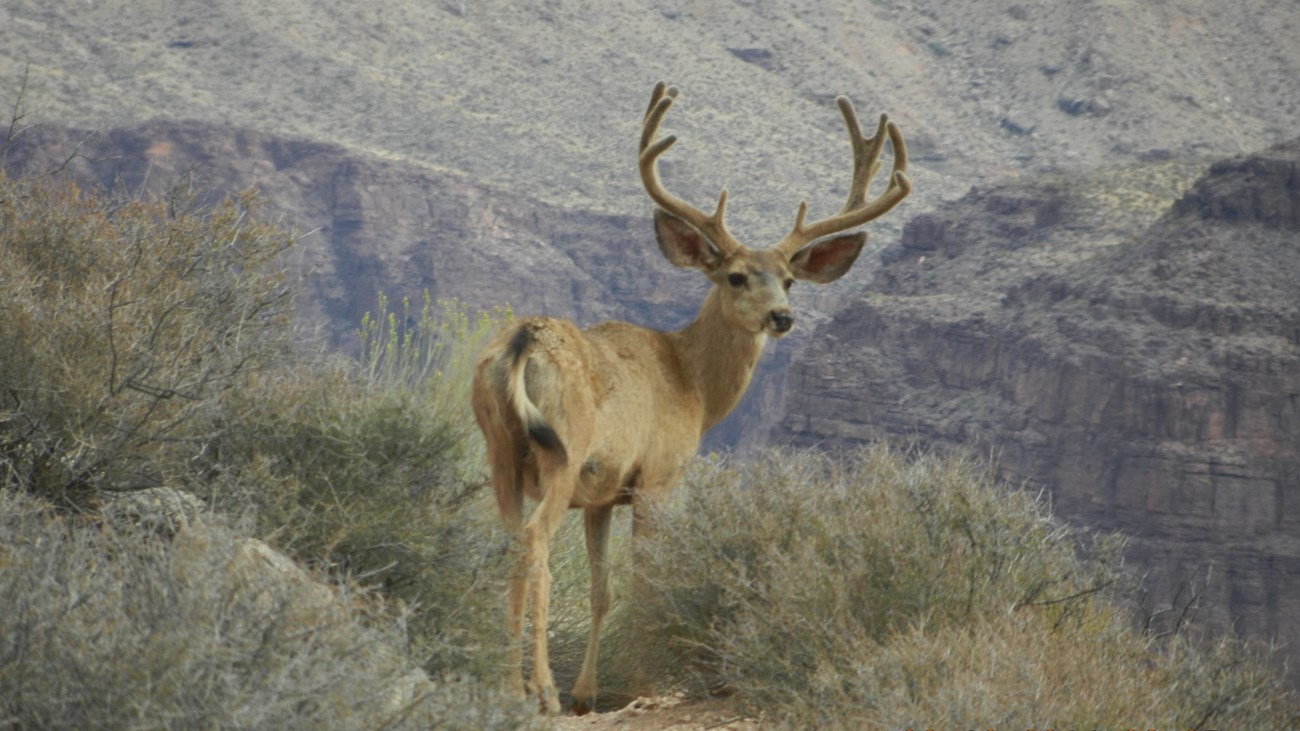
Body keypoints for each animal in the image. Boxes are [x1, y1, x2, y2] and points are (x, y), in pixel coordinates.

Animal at [473, 83, 909, 712]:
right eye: (735, 275)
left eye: (789, 279)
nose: (783, 317)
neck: (691, 384)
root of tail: (524, 339)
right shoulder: (658, 475)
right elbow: (648, 583)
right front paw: (641, 686)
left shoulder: (603, 493)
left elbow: (604, 589)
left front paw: (589, 693)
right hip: (561, 451)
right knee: (535, 544)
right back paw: (541, 692)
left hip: (501, 451)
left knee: (509, 542)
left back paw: (509, 685)